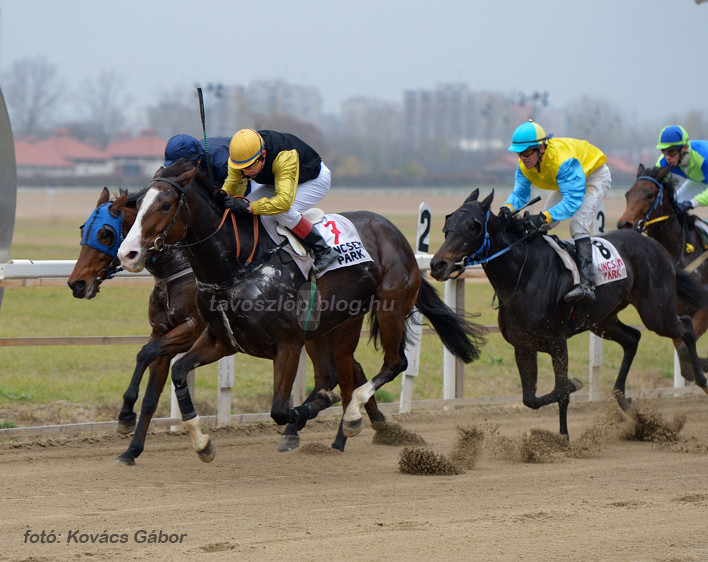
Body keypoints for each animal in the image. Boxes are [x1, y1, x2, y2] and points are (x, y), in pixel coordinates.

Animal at [67, 186, 390, 462]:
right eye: (83, 229)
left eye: (106, 233)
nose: (76, 283)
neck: (182, 269)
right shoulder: (163, 330)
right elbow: (151, 391)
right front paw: (131, 449)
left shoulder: (192, 330)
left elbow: (145, 354)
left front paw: (125, 416)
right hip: (318, 332)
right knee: (348, 370)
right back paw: (363, 425)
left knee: (347, 373)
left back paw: (351, 429)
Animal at [116, 158, 484, 460]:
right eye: (138, 203)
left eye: (165, 204)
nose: (128, 254)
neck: (238, 264)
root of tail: (396, 234)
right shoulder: (221, 339)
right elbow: (178, 371)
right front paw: (200, 442)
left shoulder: (287, 345)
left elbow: (280, 409)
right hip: (335, 325)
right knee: (337, 375)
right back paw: (339, 431)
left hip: (389, 309)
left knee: (393, 364)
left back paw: (350, 416)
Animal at [428, 188, 708, 438]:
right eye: (448, 221)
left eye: (473, 225)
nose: (437, 264)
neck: (524, 276)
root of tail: (655, 245)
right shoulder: (523, 346)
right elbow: (530, 398)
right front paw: (573, 394)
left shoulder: (557, 341)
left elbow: (561, 389)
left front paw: (564, 433)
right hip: (602, 321)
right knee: (633, 339)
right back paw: (624, 400)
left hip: (655, 312)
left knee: (684, 326)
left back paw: (701, 379)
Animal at [616, 162, 708, 372]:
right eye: (627, 194)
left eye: (650, 195)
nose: (625, 223)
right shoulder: (674, 311)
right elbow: (683, 354)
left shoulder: (704, 310)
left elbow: (684, 352)